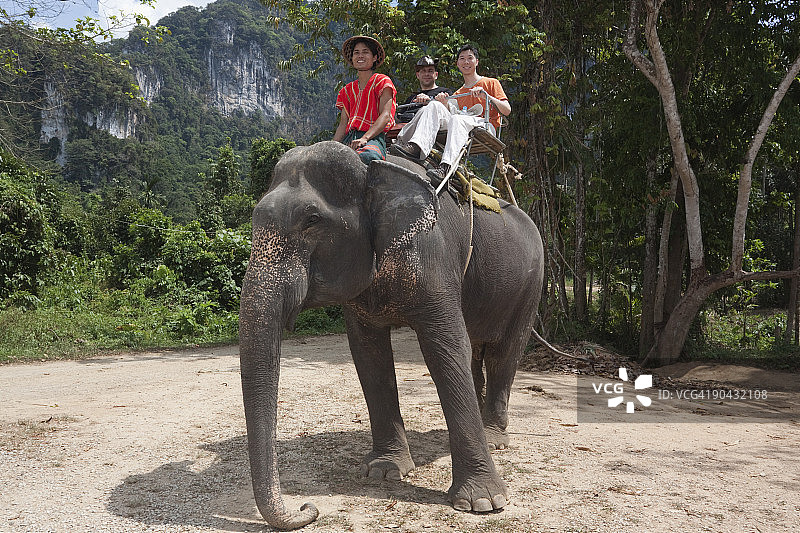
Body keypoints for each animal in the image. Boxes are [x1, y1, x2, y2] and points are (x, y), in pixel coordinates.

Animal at [238, 141, 544, 530]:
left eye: (312, 220)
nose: (308, 508)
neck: (372, 170)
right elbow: (368, 354)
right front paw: (383, 472)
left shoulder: (432, 253)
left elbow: (446, 349)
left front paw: (483, 503)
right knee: (478, 352)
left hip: (531, 285)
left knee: (504, 352)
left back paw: (494, 439)